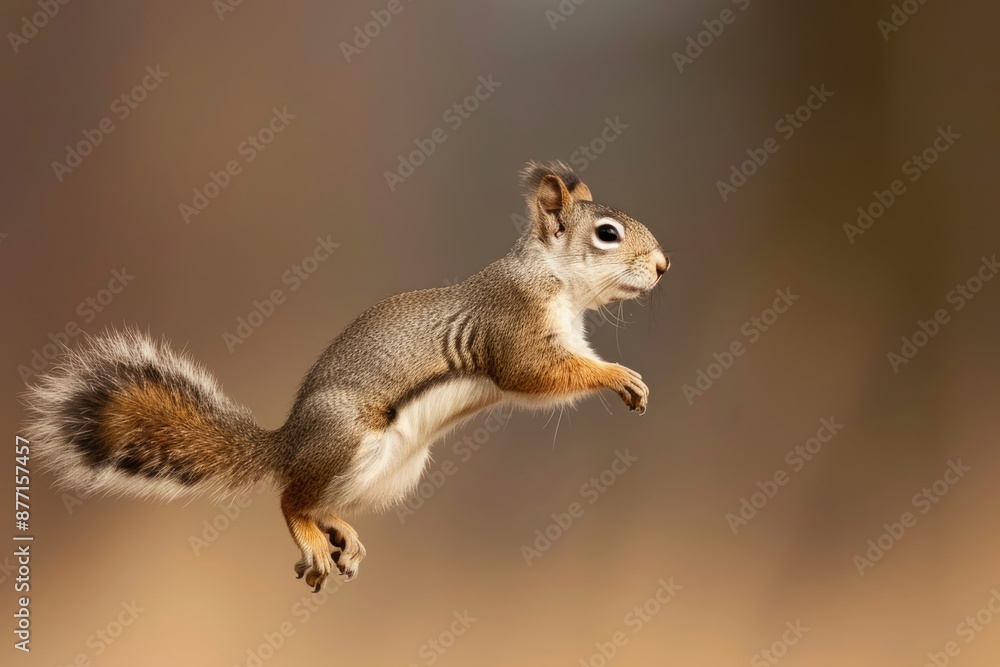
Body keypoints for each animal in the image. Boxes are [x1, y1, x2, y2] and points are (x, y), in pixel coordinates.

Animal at [21, 160, 664, 588]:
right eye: (607, 234)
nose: (663, 265)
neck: (555, 281)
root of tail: (287, 444)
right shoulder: (513, 330)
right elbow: (536, 375)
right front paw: (619, 375)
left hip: (390, 468)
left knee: (319, 499)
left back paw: (339, 533)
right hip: (347, 436)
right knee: (291, 498)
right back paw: (310, 533)